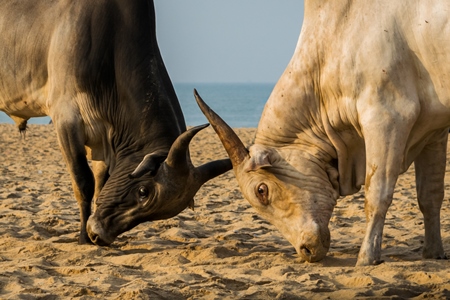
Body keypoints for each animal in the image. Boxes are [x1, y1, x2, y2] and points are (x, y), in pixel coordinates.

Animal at [196, 0, 450, 268]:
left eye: (261, 191)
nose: (306, 250)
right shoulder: (434, 130)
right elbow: (430, 196)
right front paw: (433, 253)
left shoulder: (387, 117)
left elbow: (377, 195)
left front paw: (366, 257)